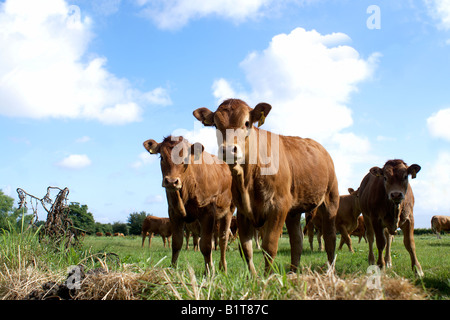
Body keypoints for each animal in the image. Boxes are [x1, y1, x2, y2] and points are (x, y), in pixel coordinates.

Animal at [143, 135, 236, 272]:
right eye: (162, 157)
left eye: (186, 158)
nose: (171, 181)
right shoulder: (173, 212)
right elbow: (177, 243)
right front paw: (173, 269)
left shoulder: (207, 212)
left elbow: (206, 245)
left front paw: (209, 272)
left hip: (228, 211)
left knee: (223, 239)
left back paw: (223, 267)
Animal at [192, 99, 338, 274]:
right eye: (215, 125)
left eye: (247, 123)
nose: (228, 149)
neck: (246, 181)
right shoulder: (243, 211)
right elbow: (246, 248)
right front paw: (254, 276)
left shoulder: (278, 205)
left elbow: (269, 246)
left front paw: (267, 276)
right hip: (293, 211)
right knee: (297, 240)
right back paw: (292, 271)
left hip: (330, 199)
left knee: (330, 237)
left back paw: (330, 270)